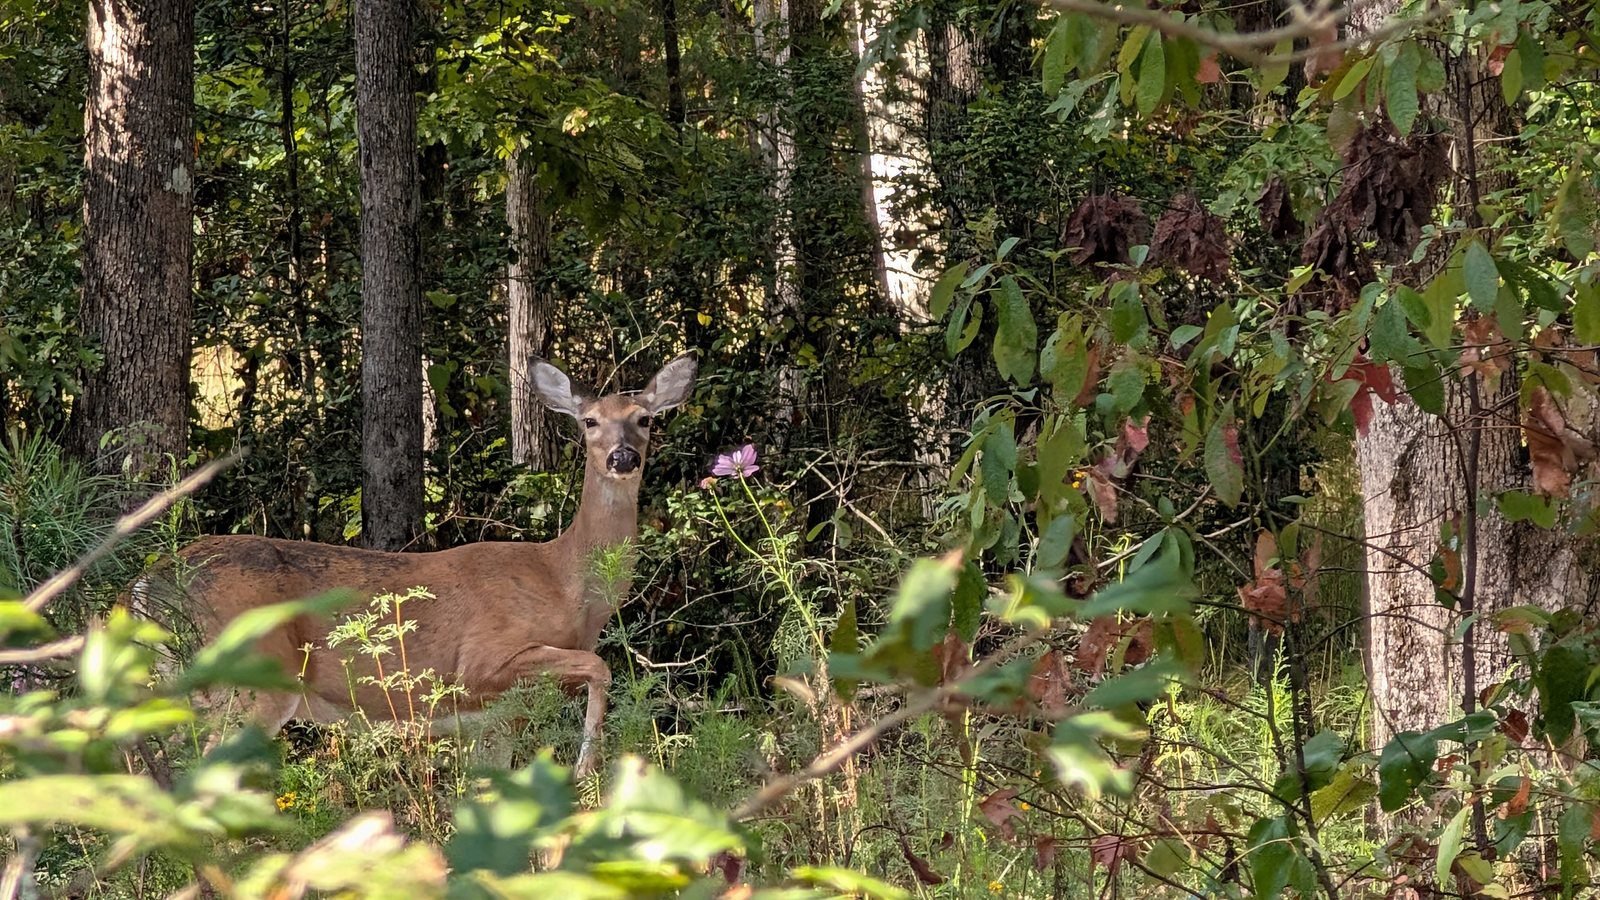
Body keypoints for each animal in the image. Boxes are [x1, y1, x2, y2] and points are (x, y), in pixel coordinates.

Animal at [155, 354, 696, 778]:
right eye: (589, 422)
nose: (622, 457)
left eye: (645, 419)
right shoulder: (481, 663)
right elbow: (600, 666)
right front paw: (587, 768)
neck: (566, 583)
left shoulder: (498, 718)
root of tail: (148, 587)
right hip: (248, 678)